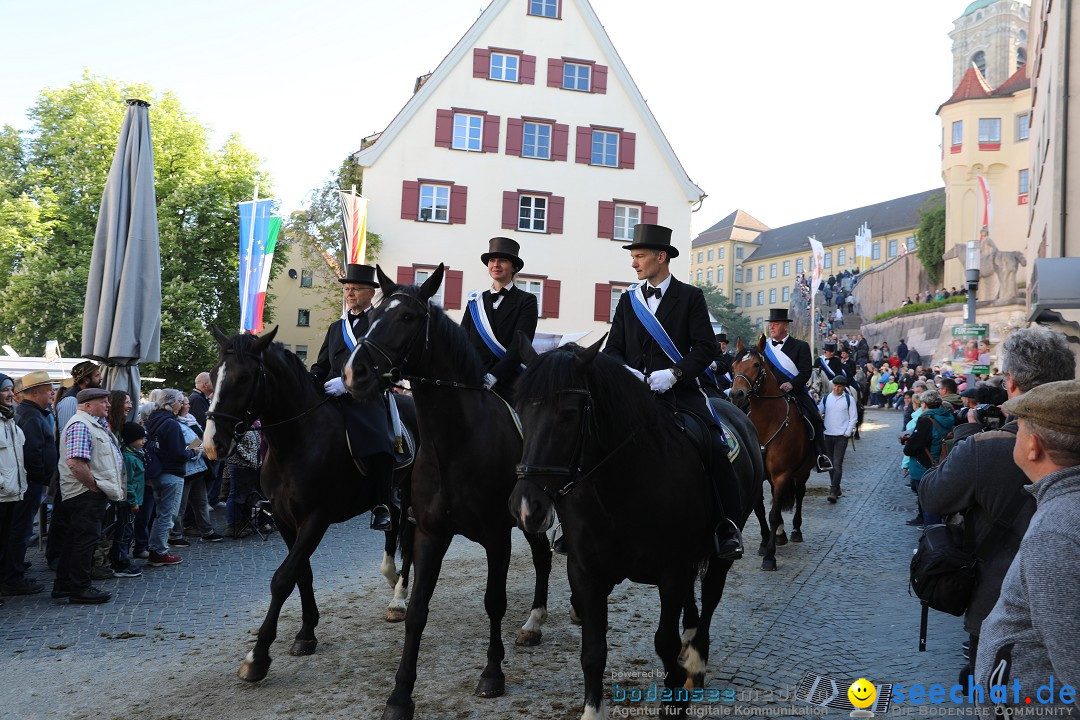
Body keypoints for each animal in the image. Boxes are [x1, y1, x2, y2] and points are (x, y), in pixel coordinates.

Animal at [203, 330, 416, 686]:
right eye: (214, 373)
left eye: (244, 377)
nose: (211, 445)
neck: (295, 442)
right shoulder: (284, 519)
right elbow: (302, 573)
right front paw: (306, 632)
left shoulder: (316, 518)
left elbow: (283, 579)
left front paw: (258, 657)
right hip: (393, 494)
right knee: (393, 527)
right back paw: (392, 577)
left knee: (411, 541)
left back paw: (399, 599)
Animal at [347, 264, 557, 720]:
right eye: (370, 319)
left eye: (407, 318)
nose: (355, 374)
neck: (455, 442)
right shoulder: (430, 534)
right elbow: (417, 611)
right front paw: (400, 695)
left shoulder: (497, 535)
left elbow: (494, 601)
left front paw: (492, 674)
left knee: (545, 557)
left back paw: (535, 623)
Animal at [509, 338, 764, 720]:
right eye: (522, 412)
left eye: (568, 414)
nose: (526, 507)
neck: (619, 486)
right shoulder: (585, 572)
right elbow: (593, 650)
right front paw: (593, 711)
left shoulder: (671, 571)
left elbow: (663, 641)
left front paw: (675, 702)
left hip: (721, 550)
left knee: (710, 598)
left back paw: (695, 661)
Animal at [730, 334, 812, 569]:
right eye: (733, 366)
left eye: (756, 365)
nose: (736, 394)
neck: (766, 424)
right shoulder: (760, 476)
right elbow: (759, 509)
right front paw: (765, 541)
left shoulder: (783, 474)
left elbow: (774, 513)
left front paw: (769, 556)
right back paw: (781, 534)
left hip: (803, 470)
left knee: (800, 494)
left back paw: (795, 530)